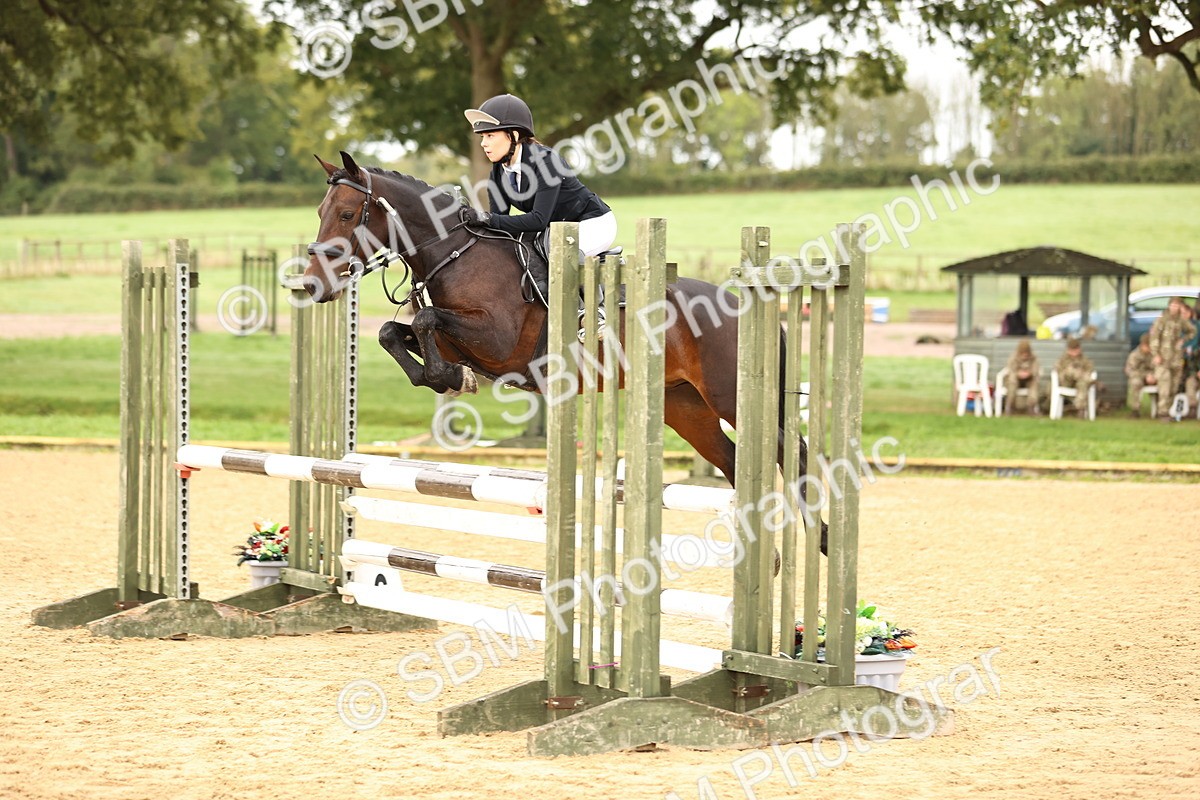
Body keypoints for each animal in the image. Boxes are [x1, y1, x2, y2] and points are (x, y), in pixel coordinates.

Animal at [304, 151, 813, 506]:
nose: (312, 285)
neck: (455, 252)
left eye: (347, 215)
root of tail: (748, 303)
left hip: (730, 395)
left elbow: (425, 320)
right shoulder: (458, 341)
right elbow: (392, 332)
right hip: (686, 407)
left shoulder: (498, 341)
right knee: (732, 460)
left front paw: (453, 379)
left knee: (791, 449)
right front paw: (449, 378)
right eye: (320, 213)